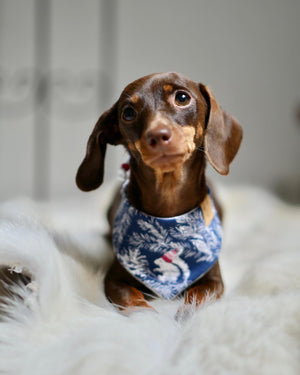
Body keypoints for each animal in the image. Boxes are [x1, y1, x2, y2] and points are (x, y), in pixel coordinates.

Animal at [76, 72, 243, 312]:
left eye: (182, 97)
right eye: (128, 113)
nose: (156, 135)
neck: (168, 208)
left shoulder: (214, 281)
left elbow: (197, 296)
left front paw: (184, 314)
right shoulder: (114, 280)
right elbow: (134, 303)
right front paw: (148, 317)